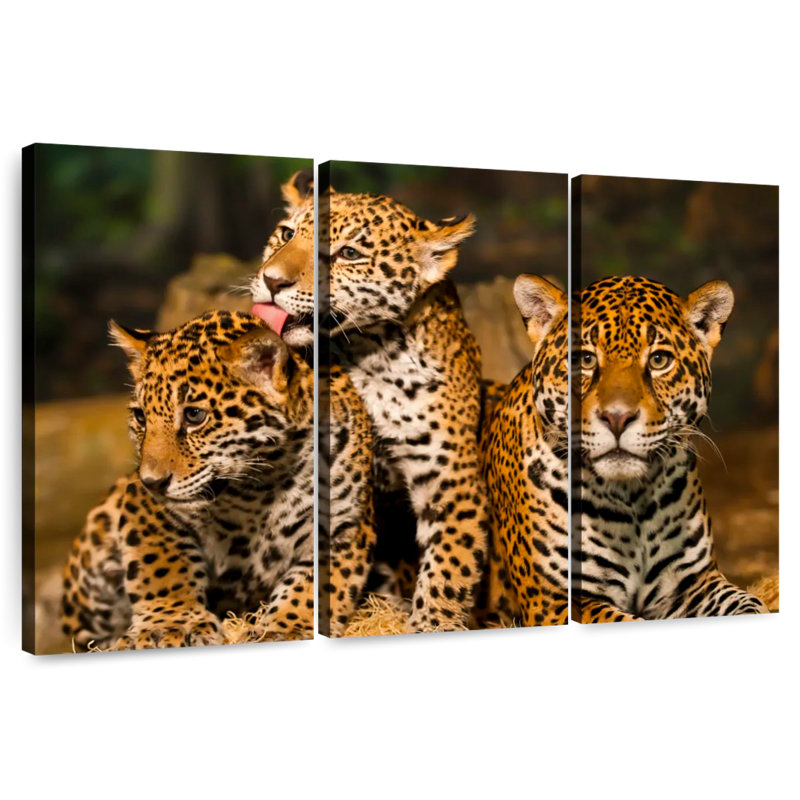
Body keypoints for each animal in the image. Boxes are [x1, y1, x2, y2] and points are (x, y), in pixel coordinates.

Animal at [60, 310, 315, 649]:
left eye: (195, 416)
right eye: (141, 417)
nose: (152, 482)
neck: (256, 488)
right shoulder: (142, 504)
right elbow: (161, 561)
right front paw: (171, 624)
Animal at [573, 275, 769, 622]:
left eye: (659, 361)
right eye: (586, 360)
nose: (617, 417)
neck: (633, 498)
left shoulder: (693, 584)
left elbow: (747, 602)